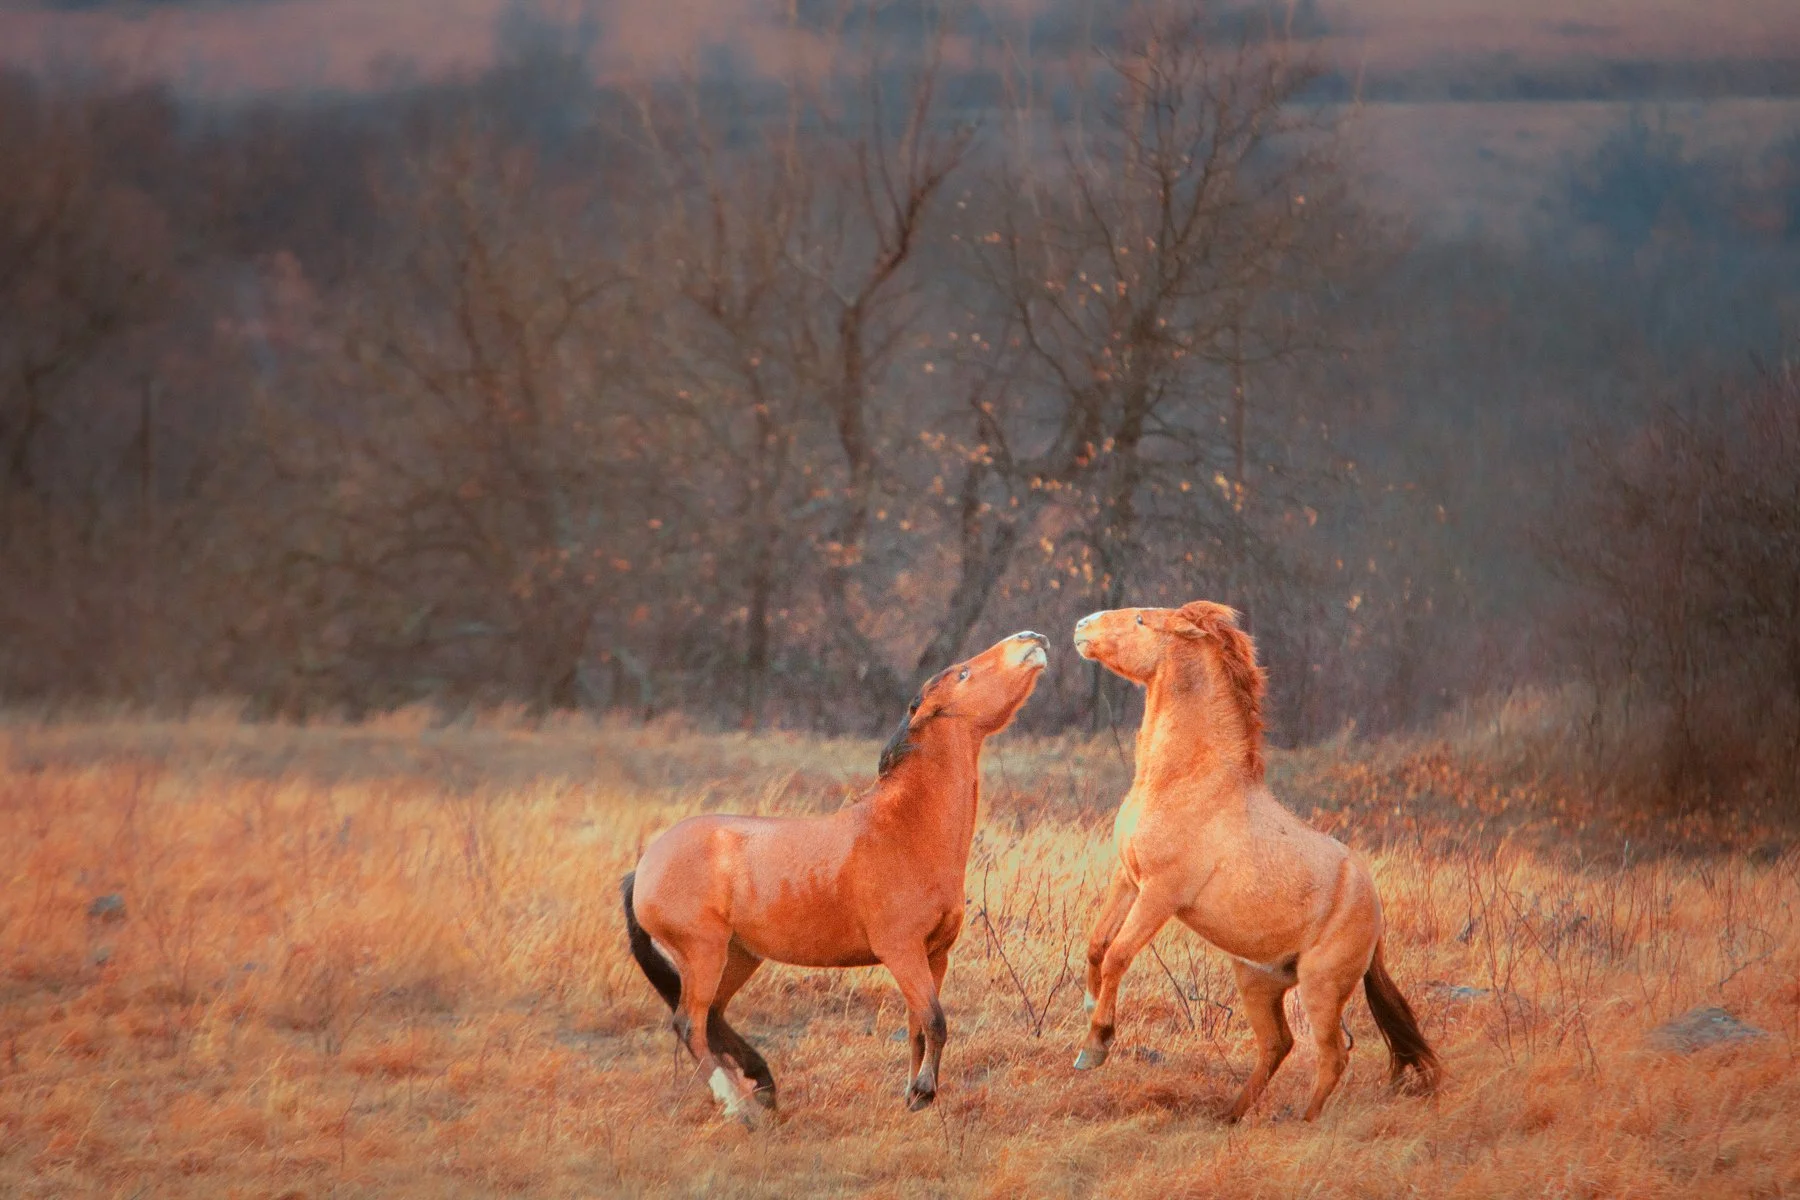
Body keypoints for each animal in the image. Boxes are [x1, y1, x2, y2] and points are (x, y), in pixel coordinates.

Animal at [621, 631, 1049, 1126]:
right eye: (963, 673)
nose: (1032, 639)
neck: (905, 830)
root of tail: (644, 867)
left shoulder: (934, 955)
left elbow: (919, 1027)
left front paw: (913, 1094)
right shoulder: (902, 952)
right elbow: (936, 1021)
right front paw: (924, 1092)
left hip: (738, 956)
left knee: (712, 1018)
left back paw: (763, 1087)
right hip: (702, 952)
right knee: (689, 1022)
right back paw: (740, 1108)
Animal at [1070, 601, 1439, 1121]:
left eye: (1142, 620)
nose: (1082, 626)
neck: (1183, 778)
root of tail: (1375, 913)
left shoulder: (1161, 894)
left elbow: (1119, 953)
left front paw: (1096, 1045)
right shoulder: (1130, 879)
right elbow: (1097, 945)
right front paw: (1088, 1010)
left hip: (1321, 987)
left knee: (1332, 1056)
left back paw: (1302, 1123)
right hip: (1258, 982)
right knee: (1278, 1045)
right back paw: (1229, 1116)